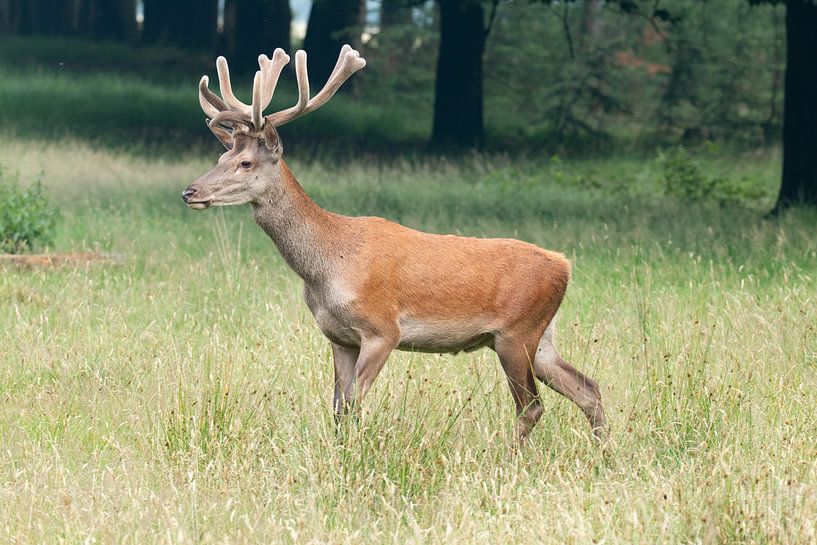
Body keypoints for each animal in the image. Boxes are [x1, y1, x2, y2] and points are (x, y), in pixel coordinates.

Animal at [182, 45, 606, 443]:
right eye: (221, 155)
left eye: (246, 163)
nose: (190, 192)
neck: (327, 266)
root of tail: (564, 266)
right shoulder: (338, 337)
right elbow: (337, 407)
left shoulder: (383, 329)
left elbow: (354, 404)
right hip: (542, 337)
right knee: (589, 388)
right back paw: (603, 452)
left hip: (517, 333)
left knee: (532, 406)